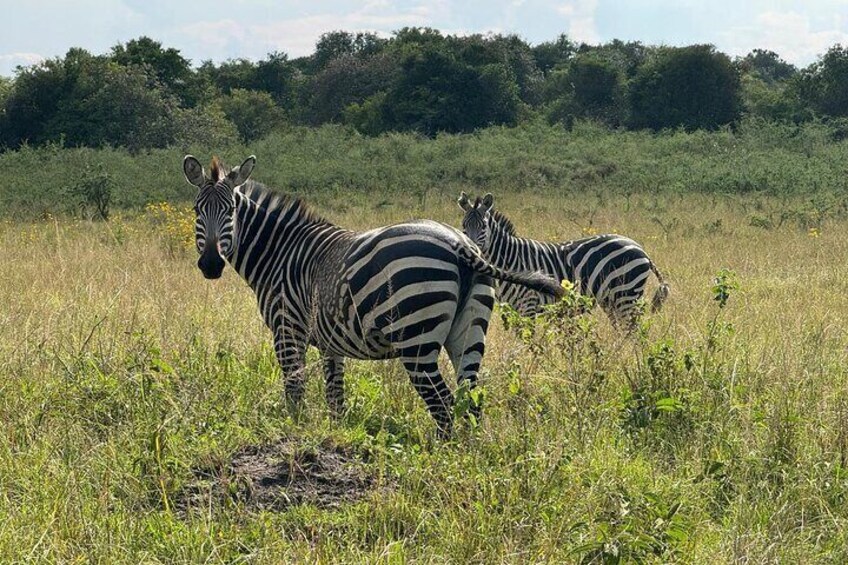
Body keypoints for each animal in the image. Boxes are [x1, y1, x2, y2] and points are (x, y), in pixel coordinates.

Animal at [182, 155, 563, 437]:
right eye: (197, 212)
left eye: (230, 211)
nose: (211, 264)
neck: (280, 250)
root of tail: (460, 245)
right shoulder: (329, 340)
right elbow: (335, 394)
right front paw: (334, 436)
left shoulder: (287, 328)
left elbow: (295, 389)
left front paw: (295, 431)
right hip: (469, 332)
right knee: (470, 399)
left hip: (417, 338)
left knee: (442, 404)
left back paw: (442, 462)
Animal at [458, 192, 669, 326]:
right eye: (464, 226)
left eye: (483, 226)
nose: (472, 249)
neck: (509, 259)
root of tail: (640, 248)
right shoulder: (510, 309)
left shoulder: (529, 305)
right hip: (611, 300)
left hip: (626, 294)